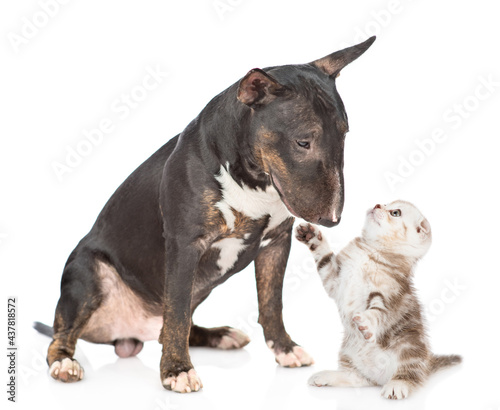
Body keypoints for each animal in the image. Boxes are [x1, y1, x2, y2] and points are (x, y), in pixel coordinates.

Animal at [294, 200, 462, 398]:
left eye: (395, 213)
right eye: (386, 203)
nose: (377, 205)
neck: (371, 251)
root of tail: (381, 377)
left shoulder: (387, 294)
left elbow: (378, 312)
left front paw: (366, 322)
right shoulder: (334, 279)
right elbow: (324, 258)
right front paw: (312, 236)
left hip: (409, 345)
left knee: (412, 374)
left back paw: (398, 384)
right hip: (348, 352)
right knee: (356, 378)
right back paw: (327, 376)